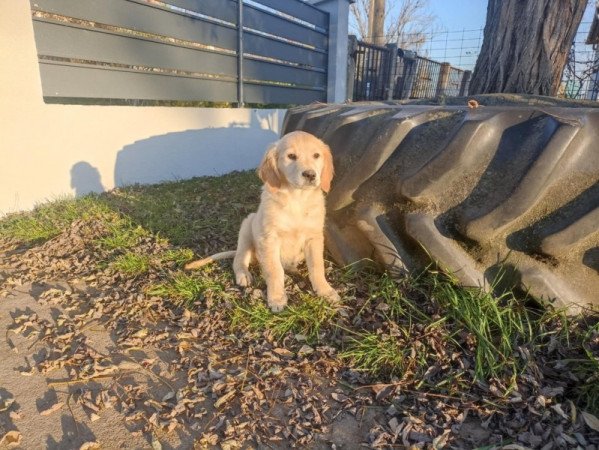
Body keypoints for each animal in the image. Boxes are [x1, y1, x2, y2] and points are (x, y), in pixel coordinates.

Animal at [185, 130, 340, 312]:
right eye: (291, 156)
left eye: (316, 155)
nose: (310, 174)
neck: (297, 198)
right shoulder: (269, 238)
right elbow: (274, 270)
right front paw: (277, 298)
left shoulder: (314, 237)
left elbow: (317, 267)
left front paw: (325, 291)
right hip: (246, 228)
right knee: (239, 259)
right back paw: (244, 274)